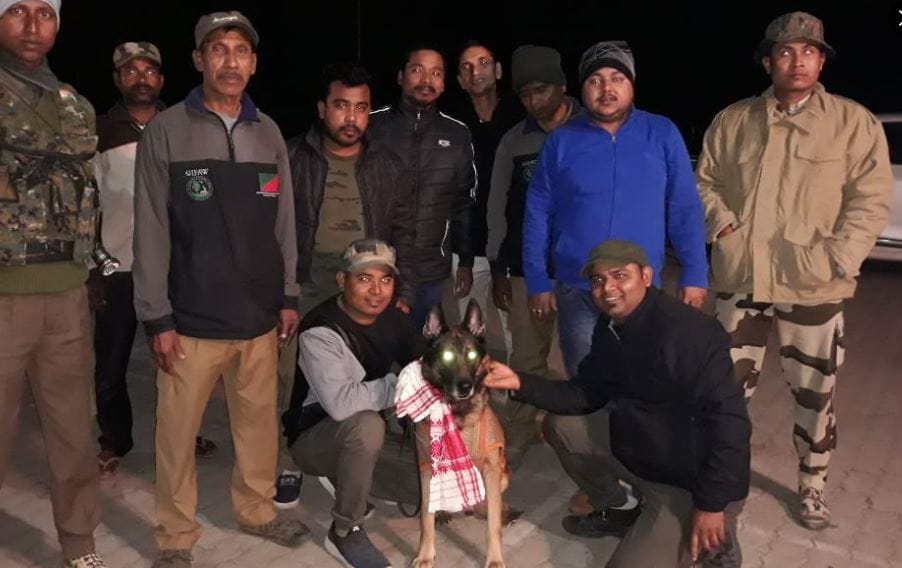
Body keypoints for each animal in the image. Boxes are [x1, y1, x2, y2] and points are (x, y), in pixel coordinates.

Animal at [411, 299, 510, 568]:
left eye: (472, 354)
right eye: (447, 356)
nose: (466, 387)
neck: (457, 413)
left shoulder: (492, 468)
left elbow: (493, 526)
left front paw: (494, 559)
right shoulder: (426, 469)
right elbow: (425, 519)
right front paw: (425, 554)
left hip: (503, 475)